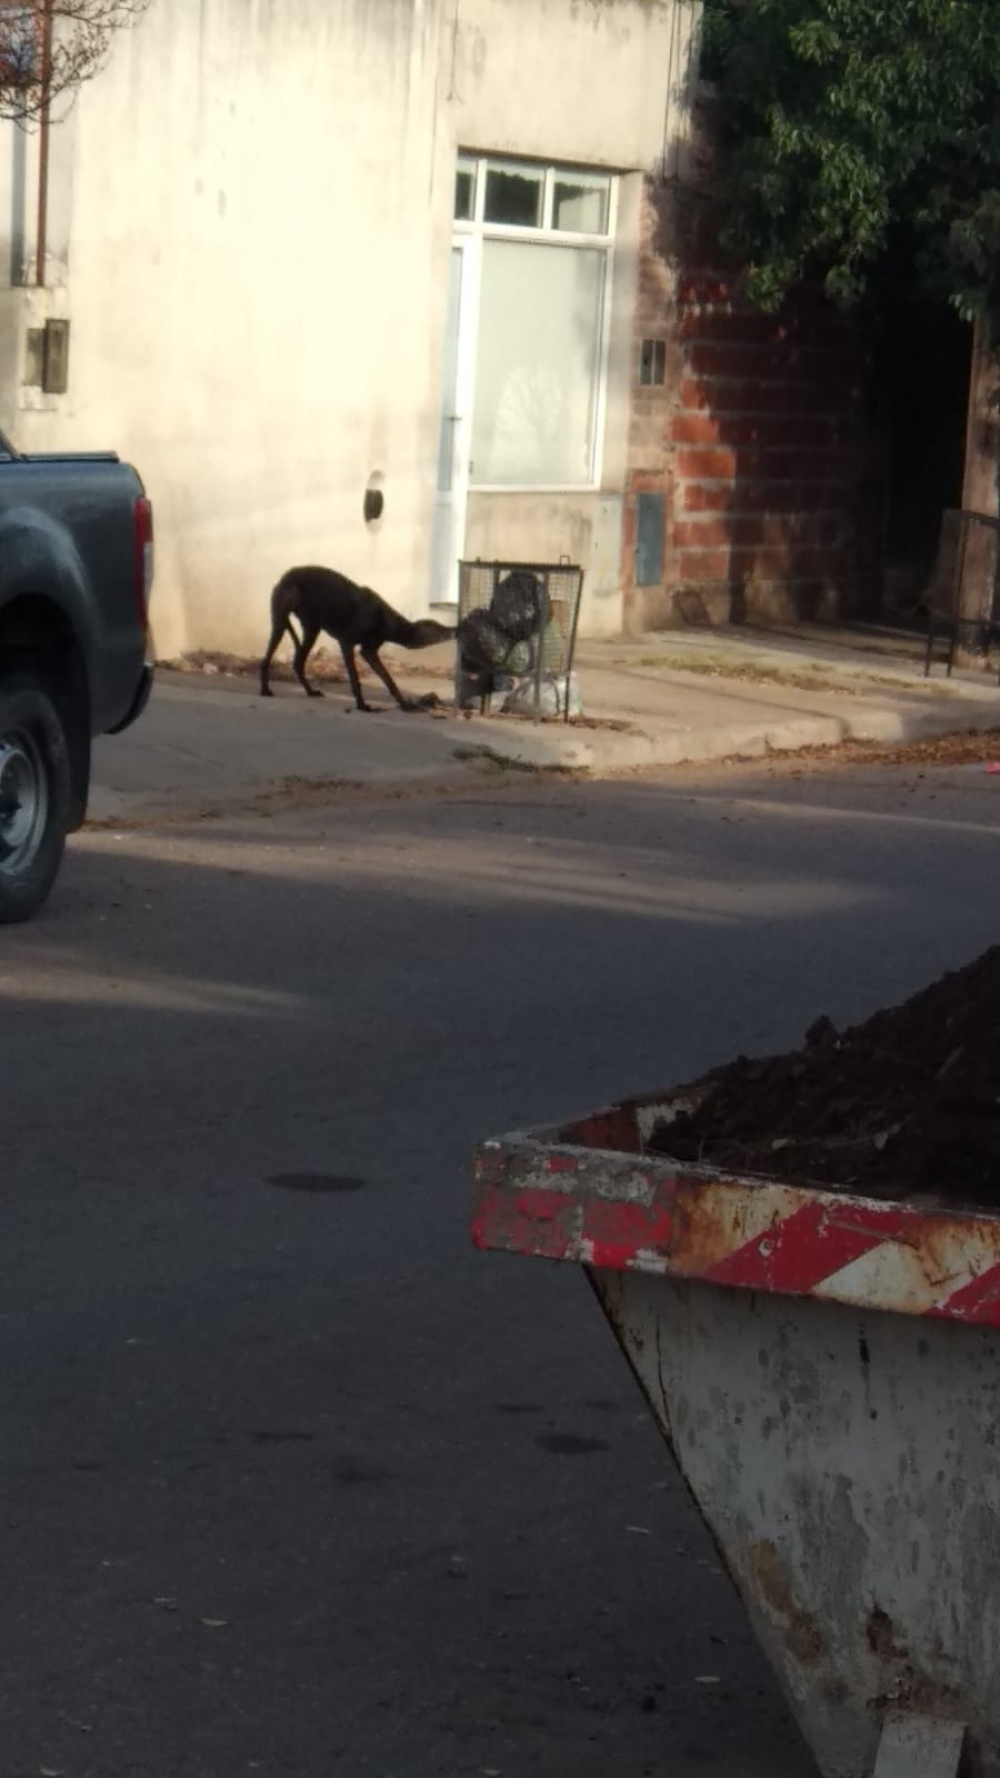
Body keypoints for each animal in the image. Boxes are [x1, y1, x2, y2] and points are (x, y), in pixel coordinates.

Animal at [261, 565, 455, 711]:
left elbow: (389, 680)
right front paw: (362, 705)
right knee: (267, 657)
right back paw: (265, 689)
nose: (456, 628)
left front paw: (405, 705)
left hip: (312, 628)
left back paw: (310, 691)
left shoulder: (369, 651)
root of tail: (285, 576)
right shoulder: (347, 642)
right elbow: (355, 679)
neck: (384, 617)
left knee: (298, 662)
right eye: (440, 629)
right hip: (281, 620)